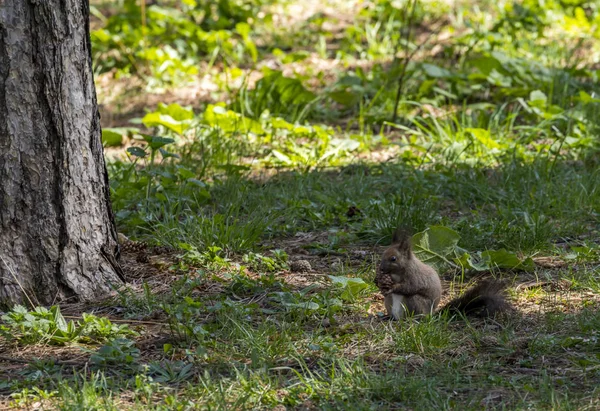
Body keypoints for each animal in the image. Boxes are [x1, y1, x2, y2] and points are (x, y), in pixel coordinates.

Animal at [376, 230, 510, 320]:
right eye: (383, 253)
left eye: (393, 258)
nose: (381, 268)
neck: (397, 273)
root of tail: (431, 315)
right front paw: (379, 282)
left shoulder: (415, 277)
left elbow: (409, 287)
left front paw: (393, 286)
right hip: (389, 301)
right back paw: (388, 317)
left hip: (414, 302)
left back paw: (413, 320)